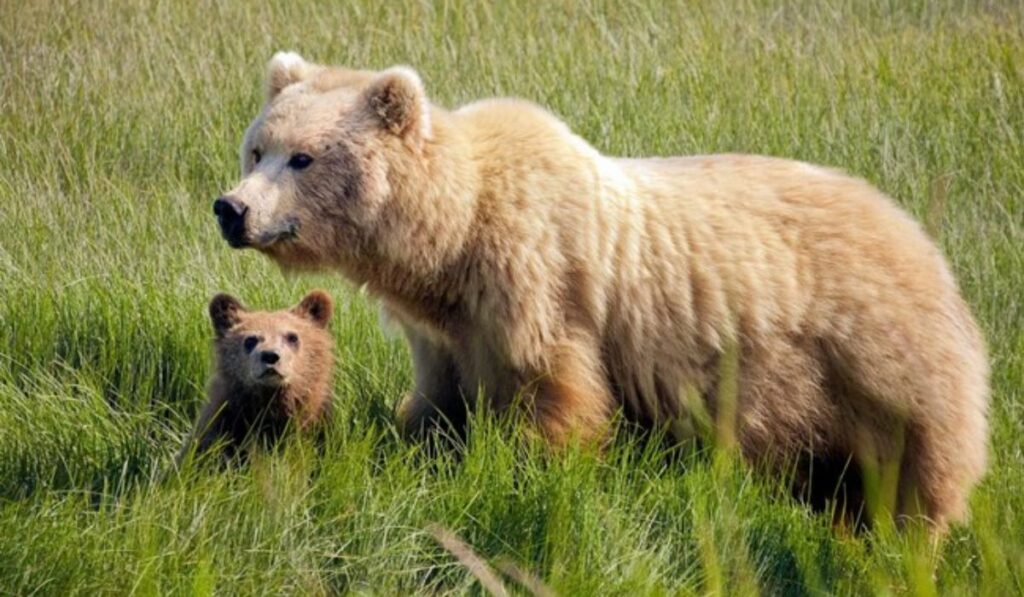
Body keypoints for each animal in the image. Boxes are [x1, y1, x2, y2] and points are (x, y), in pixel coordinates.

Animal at [211, 52, 989, 529]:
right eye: (257, 147)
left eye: (303, 157)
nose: (232, 208)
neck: (451, 239)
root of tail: (918, 234)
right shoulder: (446, 328)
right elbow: (438, 402)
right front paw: (420, 443)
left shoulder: (535, 283)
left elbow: (554, 391)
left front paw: (536, 469)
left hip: (873, 354)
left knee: (921, 461)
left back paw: (908, 536)